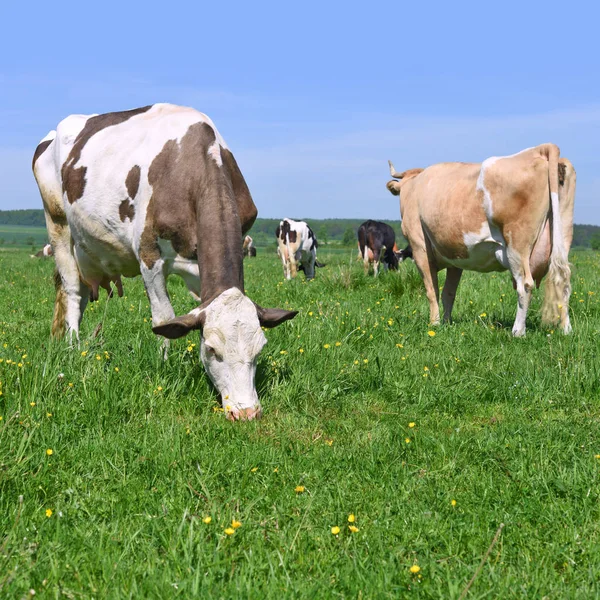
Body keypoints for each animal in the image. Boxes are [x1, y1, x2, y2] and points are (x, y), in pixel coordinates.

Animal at [31, 103, 296, 422]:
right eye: (211, 350)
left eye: (260, 349)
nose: (246, 413)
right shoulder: (149, 255)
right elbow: (164, 317)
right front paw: (164, 362)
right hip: (57, 223)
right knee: (71, 289)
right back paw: (72, 347)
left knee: (78, 293)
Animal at [386, 143, 576, 336]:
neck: (413, 188)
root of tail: (540, 149)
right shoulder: (456, 257)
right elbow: (448, 293)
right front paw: (447, 323)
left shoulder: (420, 248)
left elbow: (432, 291)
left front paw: (435, 324)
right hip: (563, 233)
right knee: (563, 278)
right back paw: (566, 329)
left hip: (517, 243)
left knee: (525, 284)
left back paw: (518, 331)